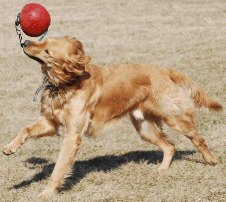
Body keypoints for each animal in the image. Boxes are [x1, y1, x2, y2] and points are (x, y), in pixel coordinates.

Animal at [2, 36, 223, 199]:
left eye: (47, 51)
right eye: (43, 39)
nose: (25, 42)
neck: (66, 85)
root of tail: (163, 70)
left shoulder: (72, 135)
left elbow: (58, 168)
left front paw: (47, 193)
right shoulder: (50, 122)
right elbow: (25, 129)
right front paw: (11, 147)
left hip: (174, 118)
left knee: (197, 138)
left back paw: (211, 160)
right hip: (145, 128)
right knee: (170, 147)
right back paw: (162, 169)